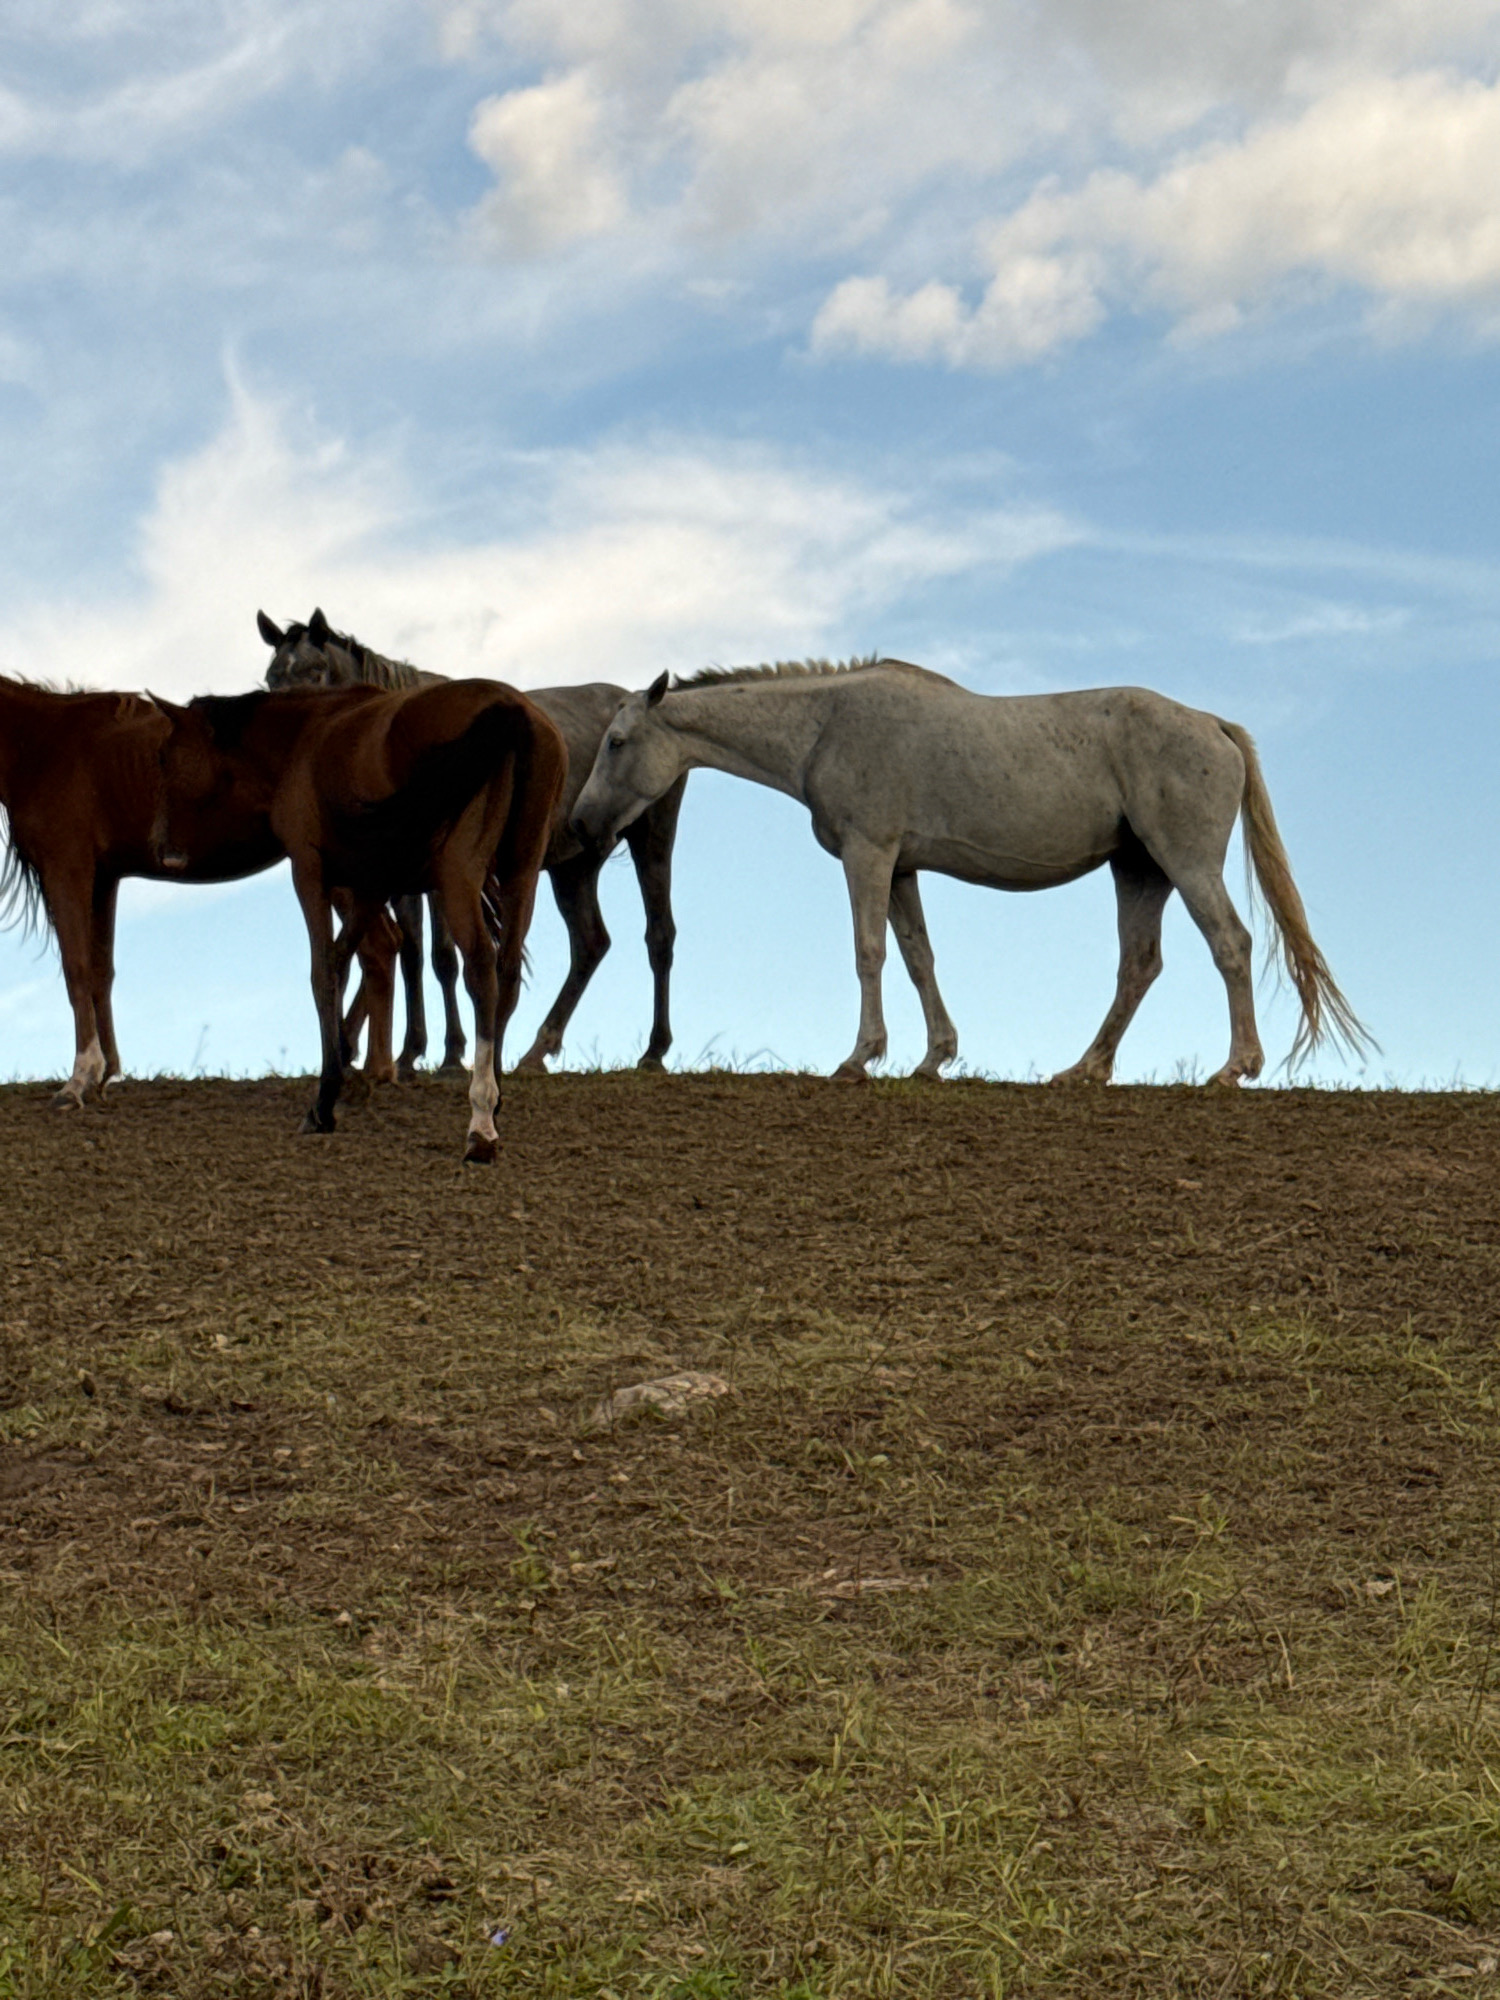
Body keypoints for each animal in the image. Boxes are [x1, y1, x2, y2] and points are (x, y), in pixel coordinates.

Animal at [0, 675, 406, 1107]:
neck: (43, 742)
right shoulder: (104, 878)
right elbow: (100, 972)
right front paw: (106, 1072)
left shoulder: (68, 869)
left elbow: (76, 969)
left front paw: (79, 1079)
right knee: (383, 945)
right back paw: (370, 1065)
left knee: (377, 947)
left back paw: (368, 1066)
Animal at [154, 680, 567, 1159]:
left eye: (165, 757)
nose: (166, 850)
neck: (305, 738)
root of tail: (509, 707)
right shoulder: (372, 884)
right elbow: (346, 958)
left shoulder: (310, 872)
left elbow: (324, 971)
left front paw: (324, 1101)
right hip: (523, 871)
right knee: (507, 972)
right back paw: (494, 1102)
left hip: (459, 874)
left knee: (481, 967)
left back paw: (480, 1118)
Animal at [258, 609, 688, 1074]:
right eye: (271, 678)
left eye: (316, 671)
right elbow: (409, 950)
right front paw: (405, 1051)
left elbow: (442, 957)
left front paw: (448, 1052)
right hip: (574, 865)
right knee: (590, 943)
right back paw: (536, 1051)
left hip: (651, 838)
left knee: (659, 935)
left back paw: (654, 1050)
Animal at [570, 660, 1370, 1084]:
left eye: (616, 741)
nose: (580, 824)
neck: (826, 725)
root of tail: (1211, 724)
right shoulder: (901, 868)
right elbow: (918, 956)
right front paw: (934, 1058)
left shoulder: (869, 853)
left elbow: (869, 953)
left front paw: (860, 1058)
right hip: (1139, 870)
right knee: (1139, 966)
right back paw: (1084, 1070)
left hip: (1185, 862)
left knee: (1230, 945)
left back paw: (1235, 1068)